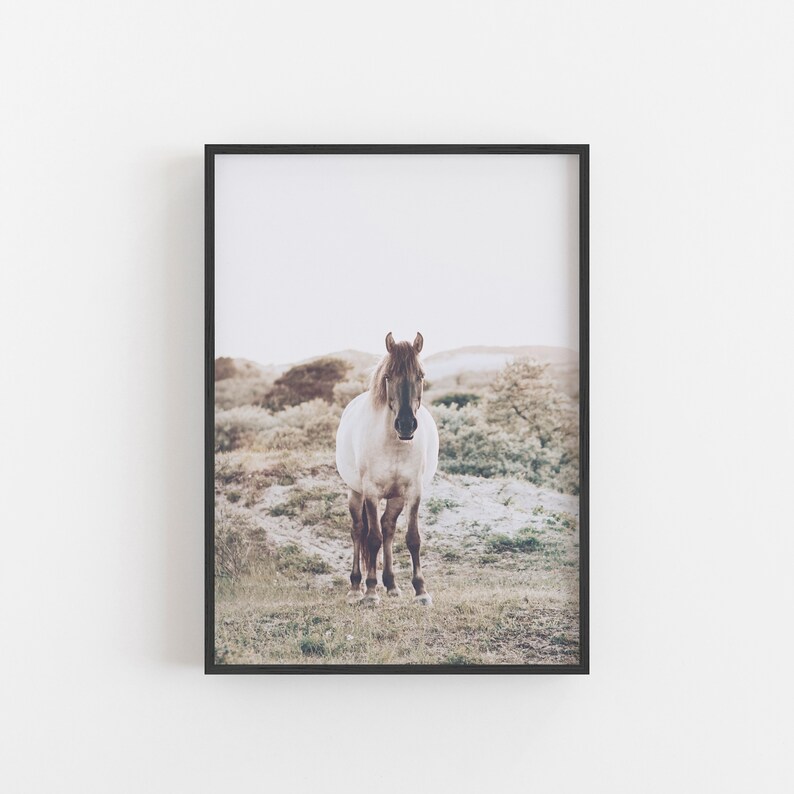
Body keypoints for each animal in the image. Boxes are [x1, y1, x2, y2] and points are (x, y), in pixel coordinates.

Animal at [335, 332, 439, 606]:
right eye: (388, 376)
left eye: (420, 375)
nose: (406, 424)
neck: (395, 444)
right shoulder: (371, 493)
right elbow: (373, 539)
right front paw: (371, 593)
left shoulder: (413, 492)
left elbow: (412, 538)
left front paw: (421, 591)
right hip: (355, 492)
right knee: (358, 531)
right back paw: (356, 587)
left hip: (396, 498)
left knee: (388, 527)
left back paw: (391, 584)